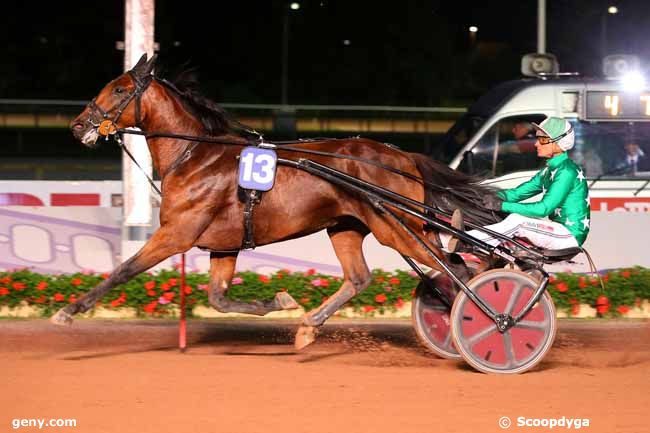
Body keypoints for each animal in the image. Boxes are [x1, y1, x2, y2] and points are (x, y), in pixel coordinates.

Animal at [55, 54, 496, 348]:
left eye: (120, 89)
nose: (77, 126)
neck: (194, 157)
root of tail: (403, 156)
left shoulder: (176, 234)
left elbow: (122, 270)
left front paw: (69, 311)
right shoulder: (224, 244)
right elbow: (218, 298)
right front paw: (279, 301)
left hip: (397, 229)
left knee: (455, 266)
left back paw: (481, 321)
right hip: (349, 227)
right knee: (363, 277)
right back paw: (309, 327)